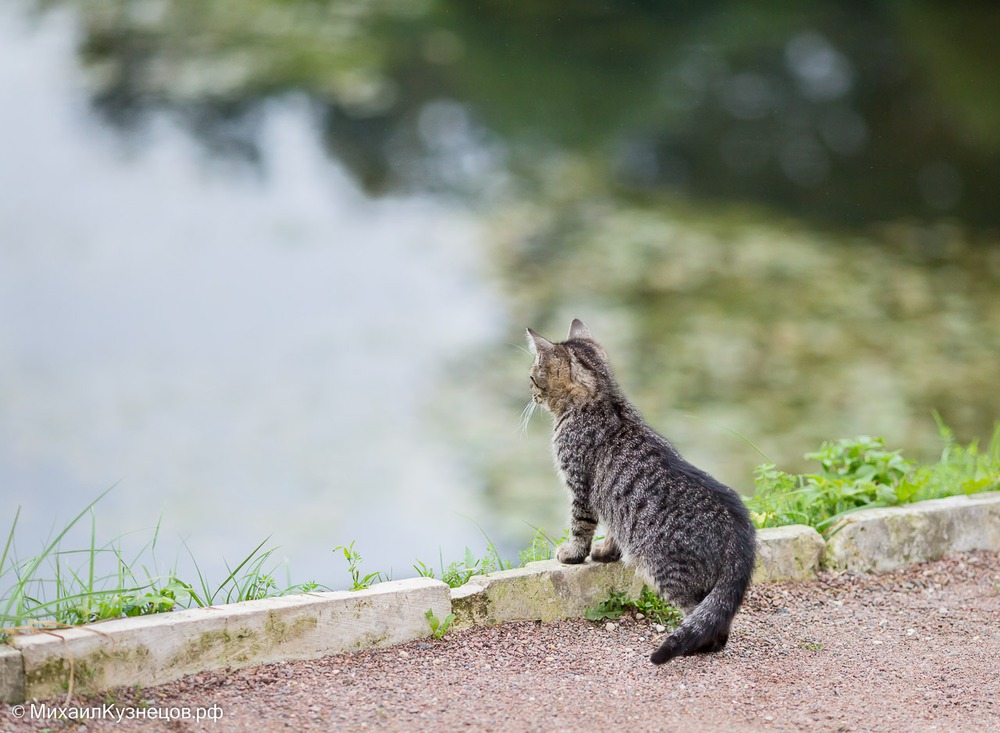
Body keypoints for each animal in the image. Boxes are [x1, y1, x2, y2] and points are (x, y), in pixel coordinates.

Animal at [528, 318, 752, 660]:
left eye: (532, 375)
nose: (529, 391)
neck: (602, 400)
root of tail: (740, 536)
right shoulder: (611, 504)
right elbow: (613, 531)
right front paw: (606, 553)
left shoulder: (580, 489)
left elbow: (580, 527)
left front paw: (573, 554)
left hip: (669, 573)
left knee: (707, 623)